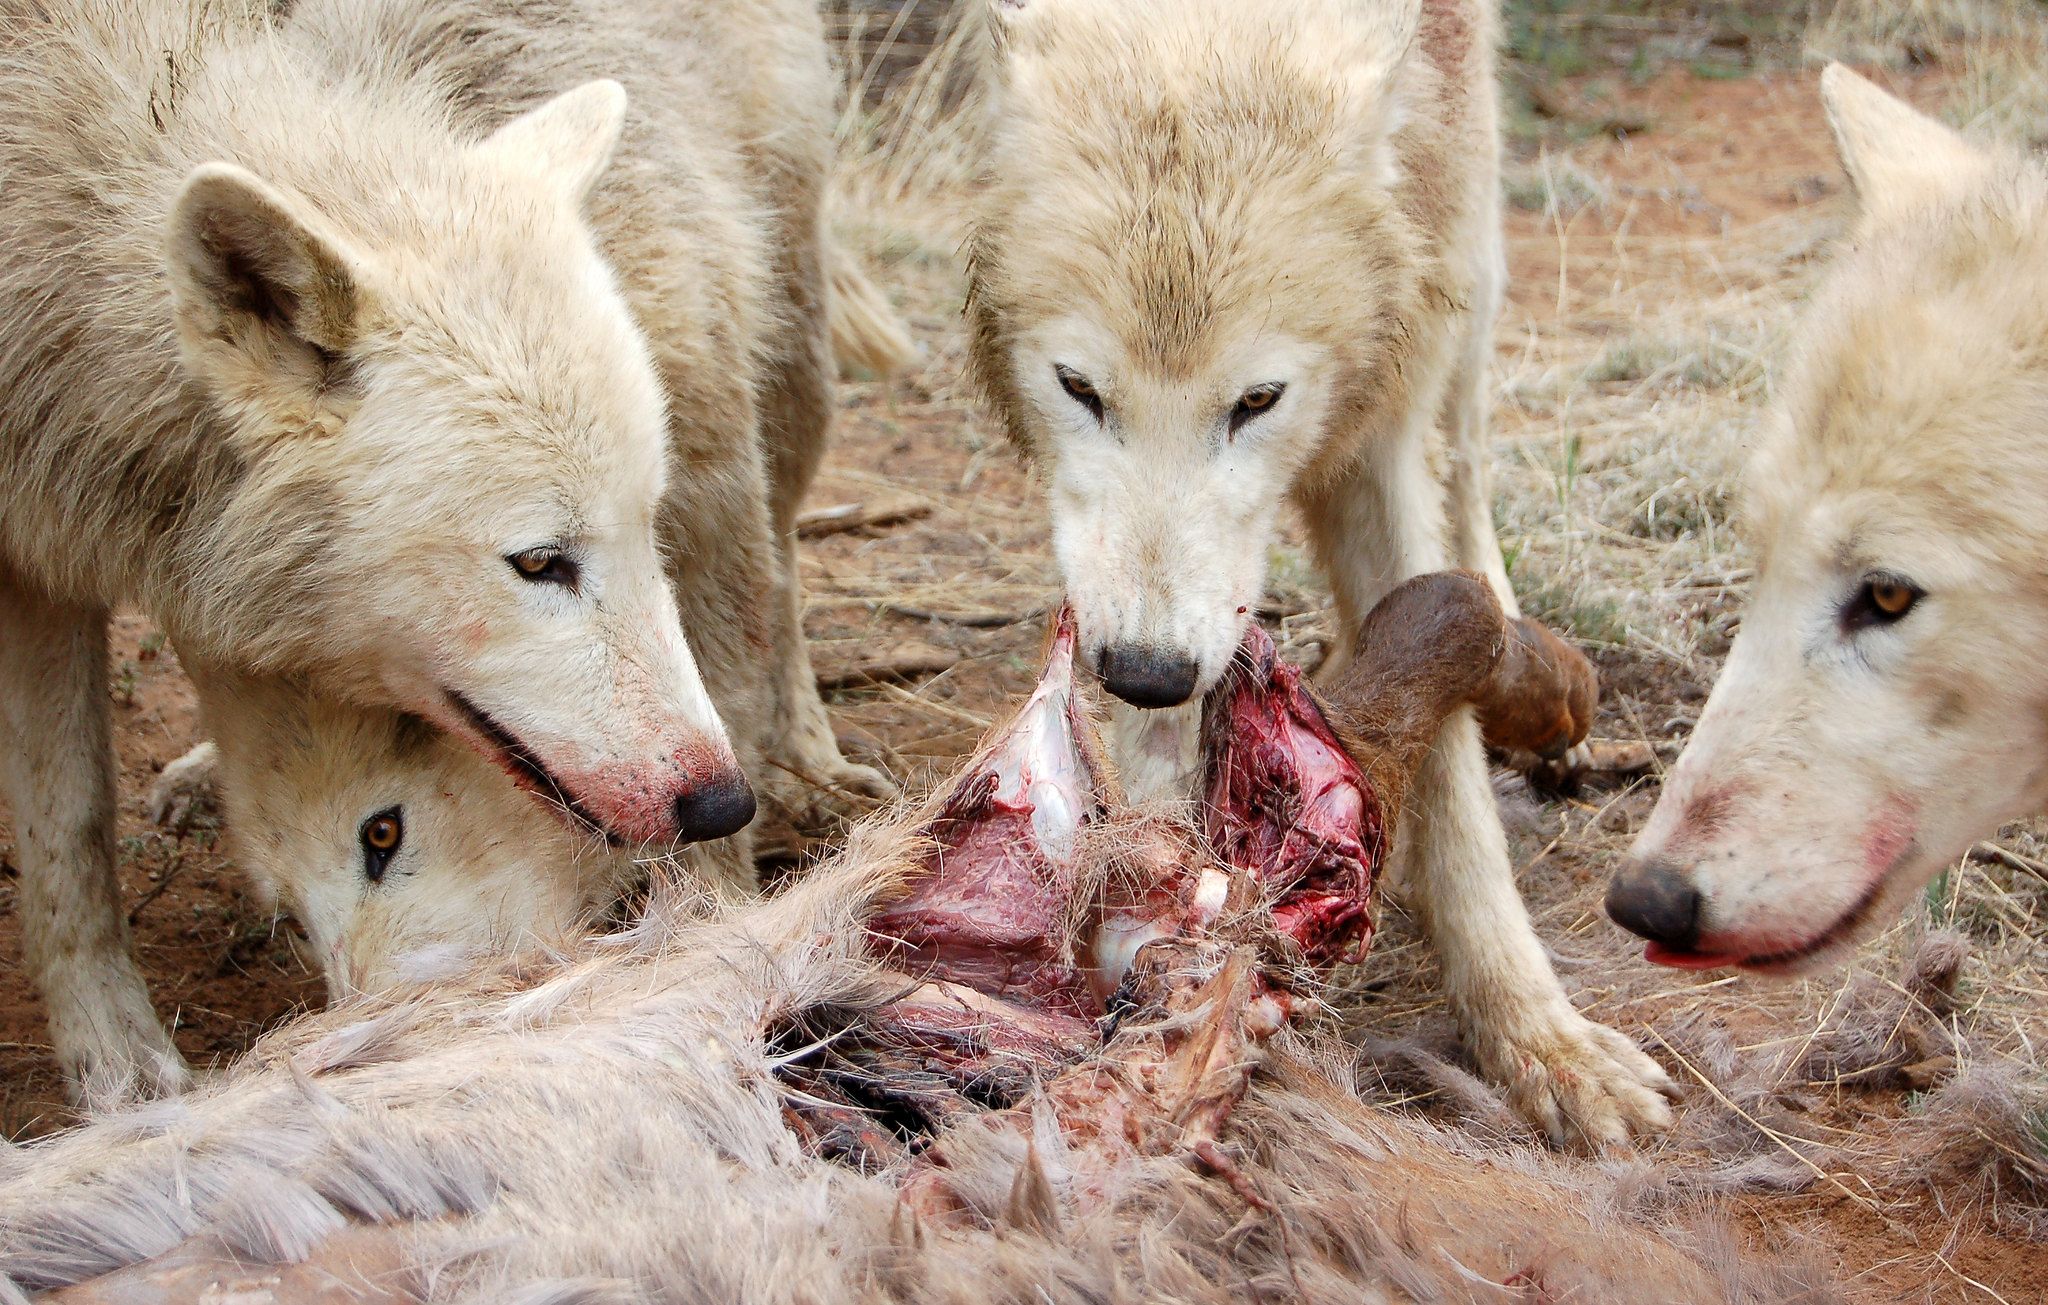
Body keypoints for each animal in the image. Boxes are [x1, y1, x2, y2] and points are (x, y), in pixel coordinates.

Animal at [0, 0, 883, 1104]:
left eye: (641, 525)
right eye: (540, 563)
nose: (717, 800)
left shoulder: (707, 424)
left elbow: (729, 652)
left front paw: (711, 948)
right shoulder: (32, 535)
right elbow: (66, 825)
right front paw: (117, 1067)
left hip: (789, 339)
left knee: (789, 563)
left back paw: (809, 753)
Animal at [961, 0, 1671, 1144]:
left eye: (1258, 401)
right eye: (1077, 388)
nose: (1143, 672)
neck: (1208, 25)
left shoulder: (1392, 419)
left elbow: (1453, 766)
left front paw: (1537, 1037)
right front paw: (1162, 923)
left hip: (1473, 284)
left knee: (1472, 465)